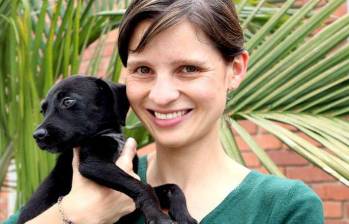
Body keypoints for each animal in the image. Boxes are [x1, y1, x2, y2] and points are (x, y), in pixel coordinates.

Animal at [17, 75, 196, 224]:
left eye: (68, 101)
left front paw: (184, 216)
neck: (110, 134)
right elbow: (143, 186)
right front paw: (157, 216)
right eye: (43, 110)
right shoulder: (93, 163)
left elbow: (172, 187)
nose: (37, 135)